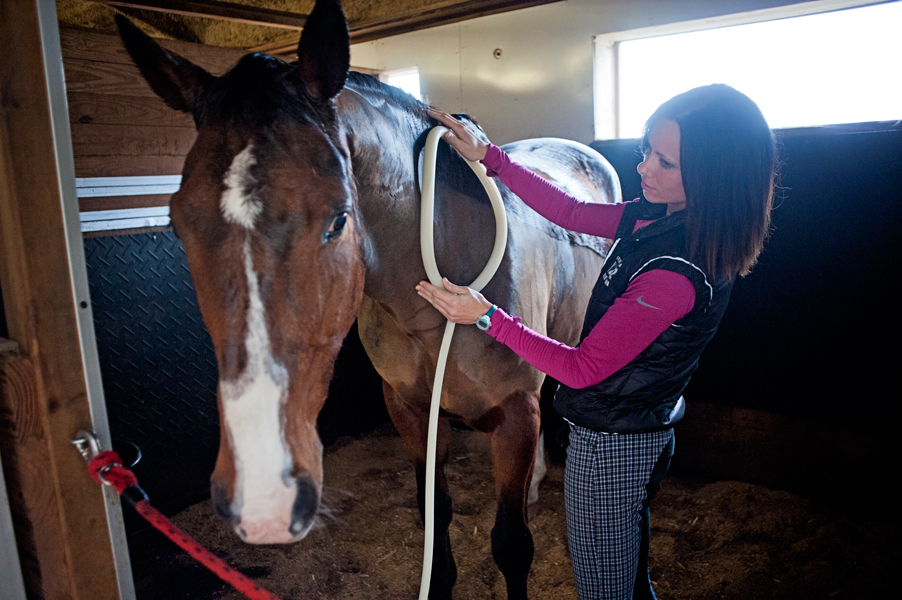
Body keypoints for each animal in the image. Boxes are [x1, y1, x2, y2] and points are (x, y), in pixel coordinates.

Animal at [115, 1, 620, 596]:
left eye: (339, 218)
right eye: (177, 222)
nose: (262, 480)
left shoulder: (516, 414)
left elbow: (512, 544)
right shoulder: (410, 412)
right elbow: (434, 517)